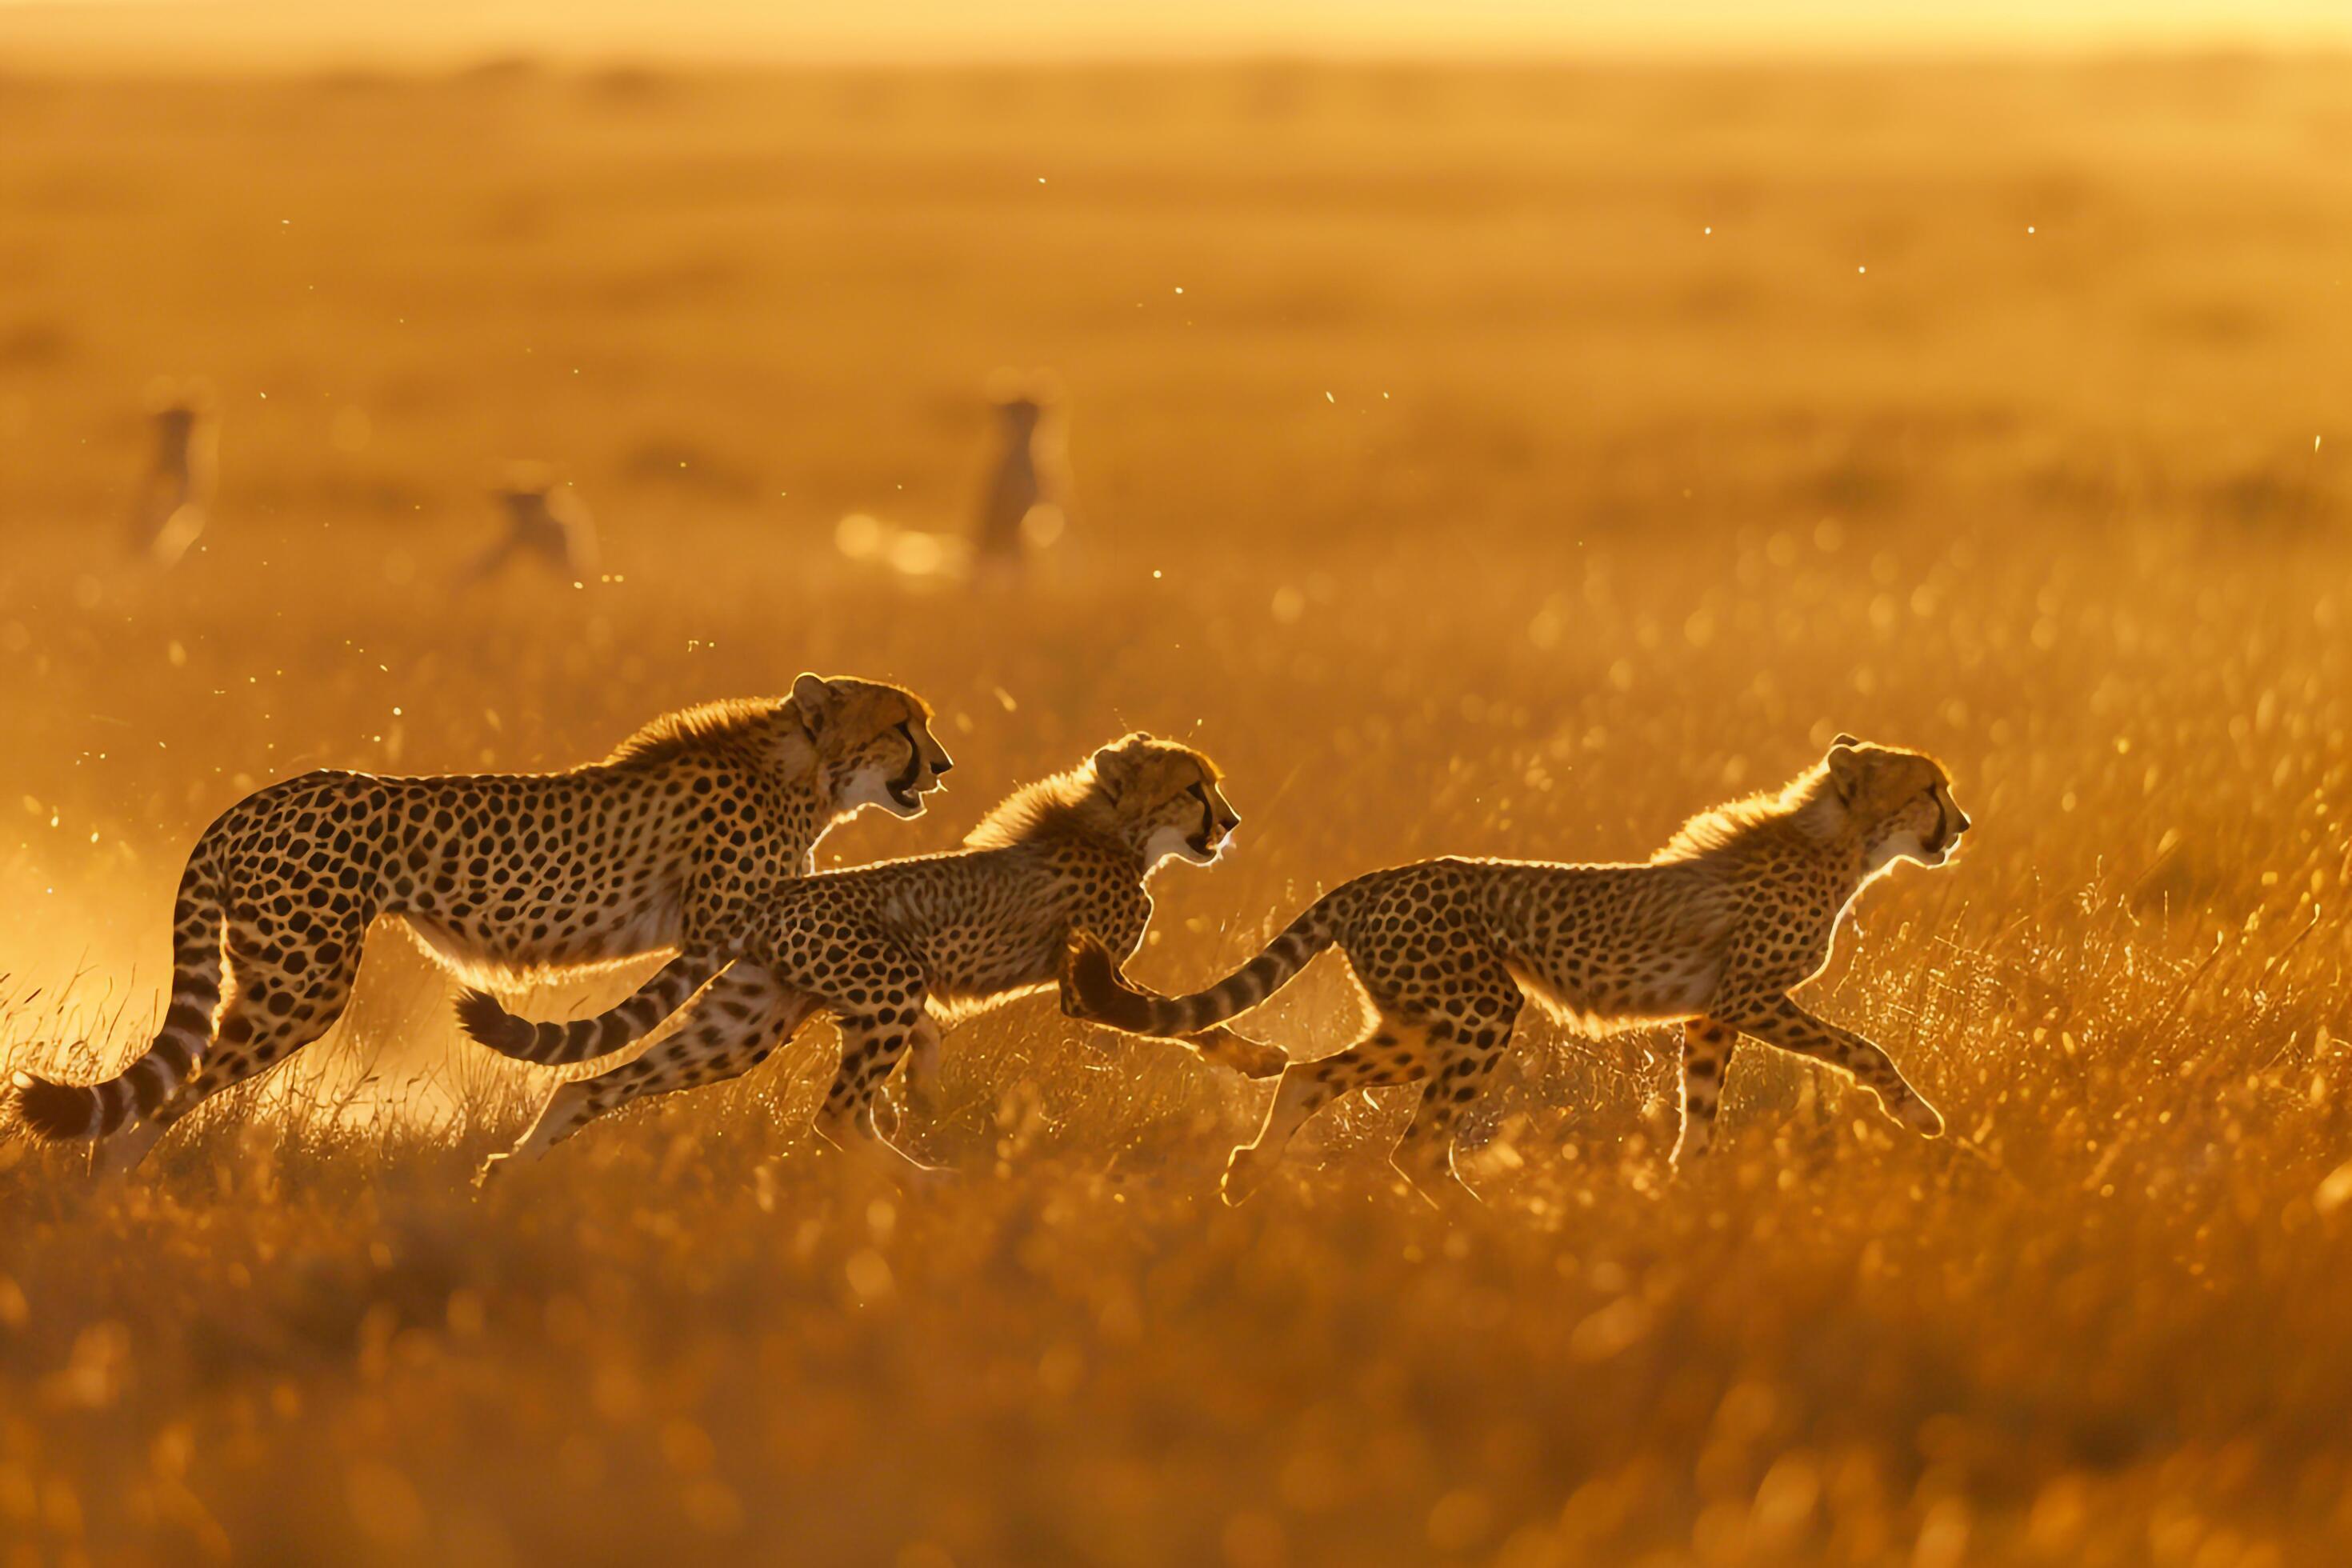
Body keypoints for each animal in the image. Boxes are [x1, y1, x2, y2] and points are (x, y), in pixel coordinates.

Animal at [11, 667, 945, 1170]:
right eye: (903, 726)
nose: (942, 764)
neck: (805, 771)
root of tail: (254, 801)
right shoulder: (726, 929)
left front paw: (921, 1090)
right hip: (297, 988)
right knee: (165, 1099)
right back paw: (106, 1196)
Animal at [1067, 742, 1966, 1213]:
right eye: (1929, 789)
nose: (1961, 825)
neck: (1841, 845)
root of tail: (1373, 878)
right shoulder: (1749, 996)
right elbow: (1863, 1048)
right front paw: (1919, 1114)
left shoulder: (1710, 1014)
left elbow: (1702, 1104)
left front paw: (1684, 1186)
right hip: (1478, 1011)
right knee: (1417, 1144)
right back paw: (1488, 1221)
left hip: (1420, 1023)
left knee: (1310, 1076)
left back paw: (1250, 1169)